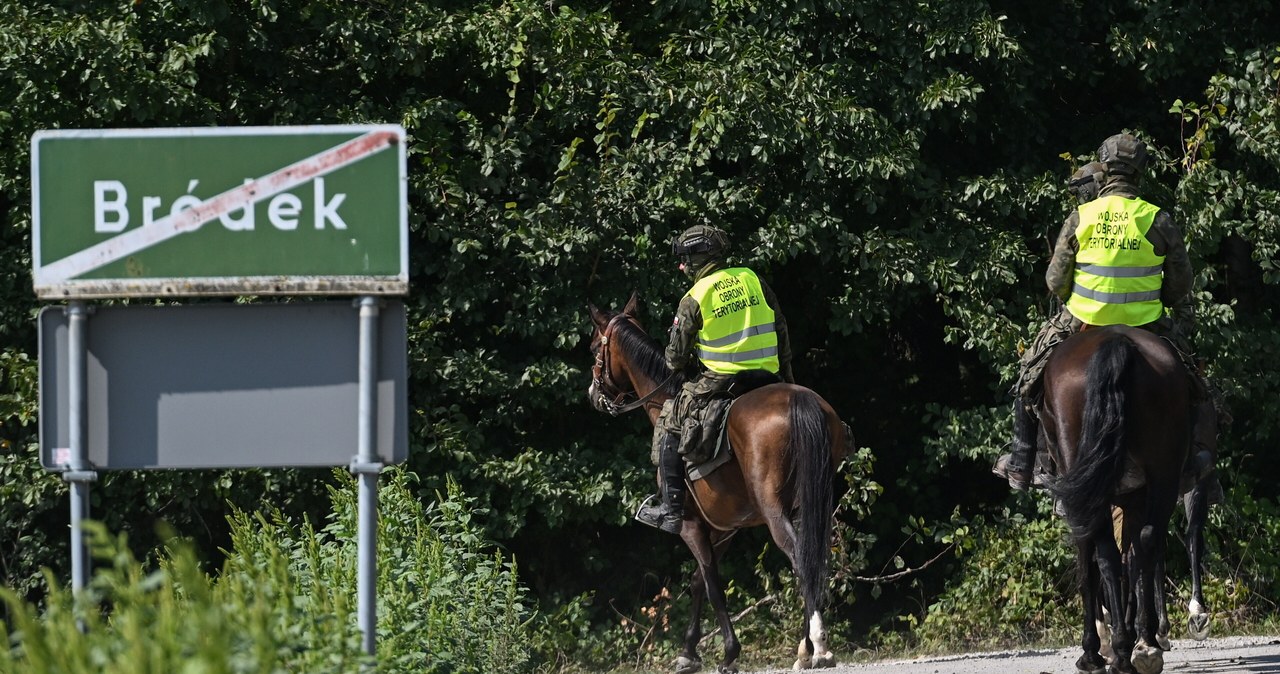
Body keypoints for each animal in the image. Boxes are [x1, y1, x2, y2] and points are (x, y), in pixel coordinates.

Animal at [586, 295, 849, 674]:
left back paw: (818, 645)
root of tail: (800, 401)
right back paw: (805, 650)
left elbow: (711, 585)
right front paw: (688, 652)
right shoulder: (726, 528)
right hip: (813, 505)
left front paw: (728, 652)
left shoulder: (691, 525)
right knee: (813, 559)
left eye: (595, 347)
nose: (593, 393)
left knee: (801, 560)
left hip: (774, 511)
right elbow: (698, 582)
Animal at [1039, 327, 1187, 674]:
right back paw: (1142, 646)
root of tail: (1115, 342)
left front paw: (1095, 648)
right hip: (1163, 471)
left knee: (1106, 550)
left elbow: (1090, 562)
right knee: (1145, 542)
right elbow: (1132, 559)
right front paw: (1136, 636)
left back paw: (1117, 650)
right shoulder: (1133, 497)